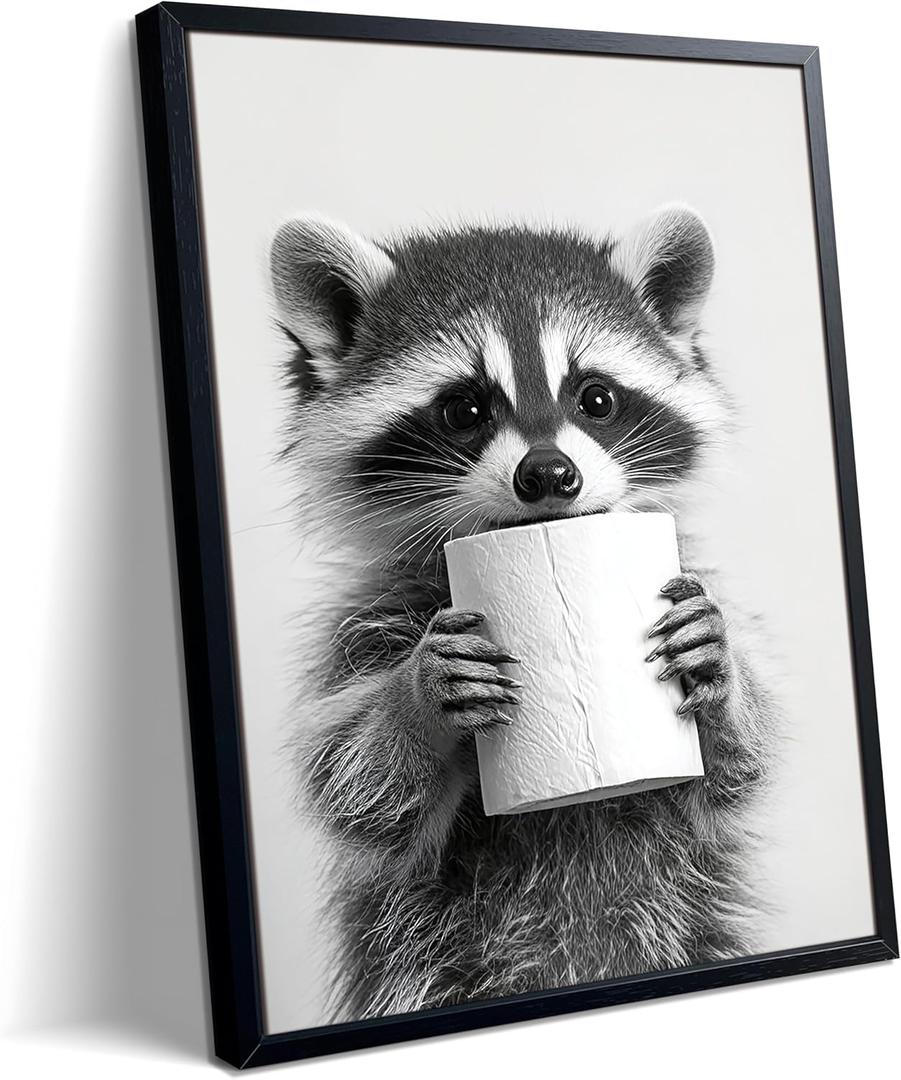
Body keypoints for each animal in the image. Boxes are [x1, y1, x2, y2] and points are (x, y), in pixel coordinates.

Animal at [270, 206, 777, 1021]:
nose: (547, 473)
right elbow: (356, 791)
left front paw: (723, 676)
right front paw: (414, 699)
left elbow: (735, 775)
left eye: (595, 399)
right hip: (425, 968)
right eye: (463, 409)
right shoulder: (365, 621)